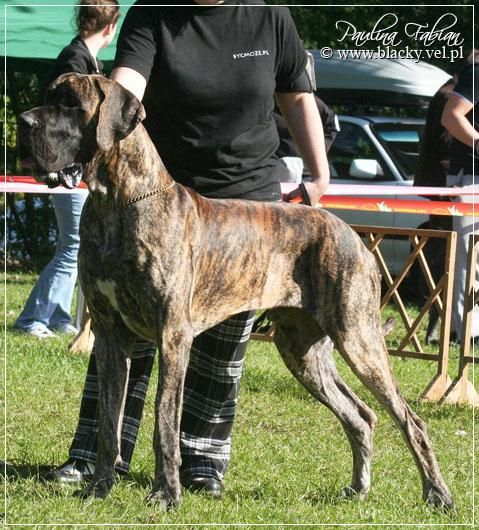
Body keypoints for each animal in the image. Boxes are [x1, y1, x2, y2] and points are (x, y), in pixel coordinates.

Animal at [17, 73, 454, 511]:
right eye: (50, 97)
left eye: (71, 104)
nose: (23, 121)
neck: (118, 203)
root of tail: (350, 233)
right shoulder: (110, 336)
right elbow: (109, 419)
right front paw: (99, 487)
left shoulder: (172, 336)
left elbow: (164, 418)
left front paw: (166, 493)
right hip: (304, 352)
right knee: (360, 415)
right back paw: (358, 488)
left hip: (359, 337)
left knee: (410, 420)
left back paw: (438, 494)